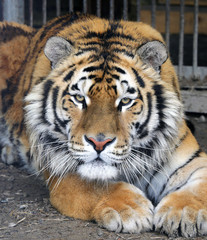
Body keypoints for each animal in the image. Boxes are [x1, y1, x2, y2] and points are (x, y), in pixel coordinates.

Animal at [0, 12, 207, 236]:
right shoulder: (62, 170)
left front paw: (184, 212)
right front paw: (130, 209)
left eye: (125, 101)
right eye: (79, 98)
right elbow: (96, 186)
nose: (99, 143)